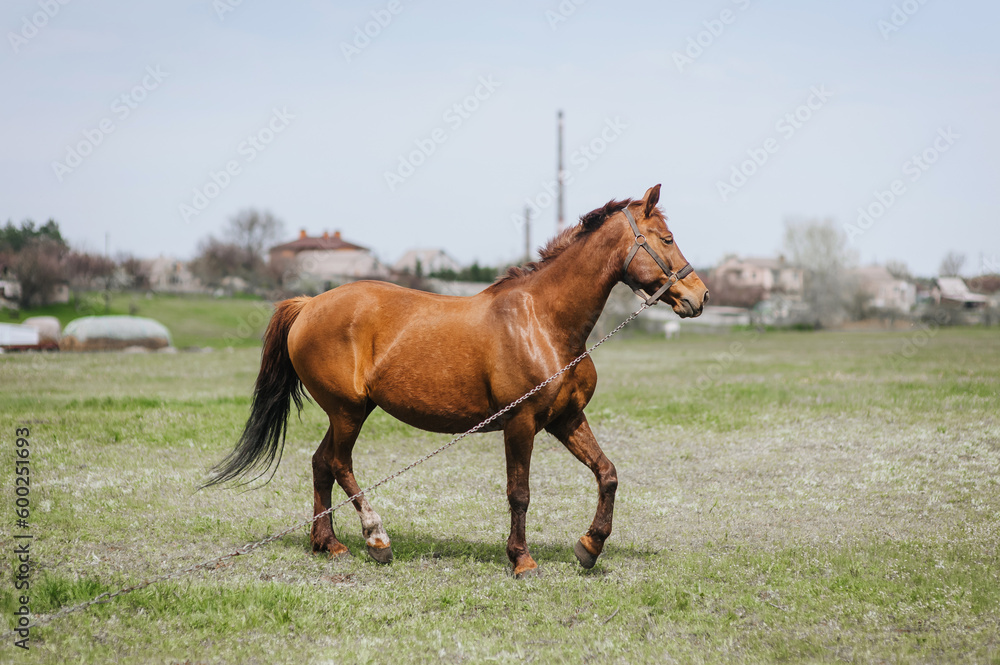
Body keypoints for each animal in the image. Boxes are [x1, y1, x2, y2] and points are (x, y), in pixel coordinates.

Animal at [205, 184, 709, 577]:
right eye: (666, 238)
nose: (699, 296)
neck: (544, 322)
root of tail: (309, 304)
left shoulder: (565, 418)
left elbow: (607, 474)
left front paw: (589, 547)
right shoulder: (521, 424)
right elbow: (519, 493)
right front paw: (522, 560)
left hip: (349, 411)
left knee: (319, 463)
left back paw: (327, 543)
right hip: (348, 411)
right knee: (339, 464)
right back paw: (377, 539)